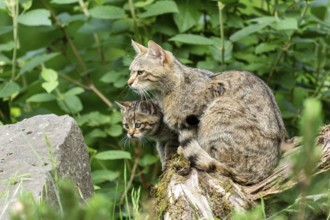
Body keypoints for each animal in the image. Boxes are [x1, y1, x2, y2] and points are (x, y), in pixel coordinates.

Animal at [127, 40, 288, 185]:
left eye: (140, 72)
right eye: (130, 71)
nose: (129, 83)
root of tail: (264, 171)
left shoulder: (210, 96)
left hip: (219, 109)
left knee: (221, 163)